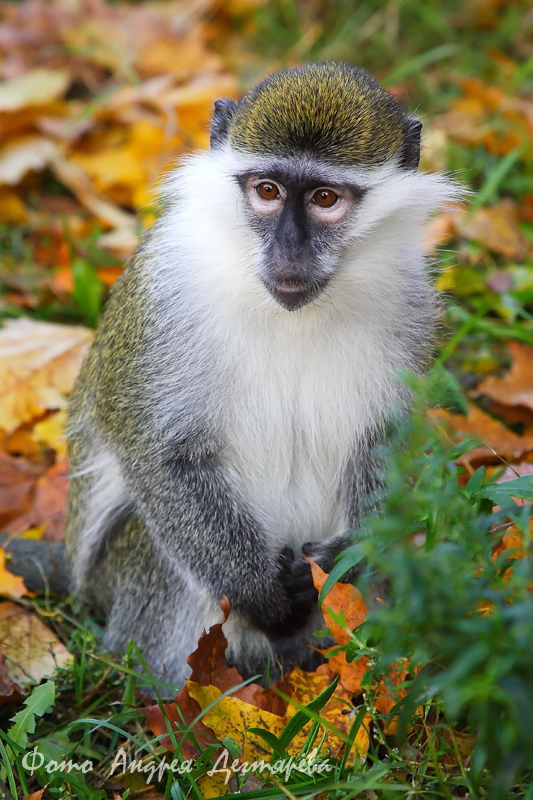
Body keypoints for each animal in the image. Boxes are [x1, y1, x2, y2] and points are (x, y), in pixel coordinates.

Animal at [61, 61, 454, 692]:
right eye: (266, 191)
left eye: (324, 198)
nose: (289, 251)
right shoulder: (163, 296)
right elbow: (162, 457)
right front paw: (264, 595)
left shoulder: (412, 305)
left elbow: (383, 445)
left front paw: (347, 558)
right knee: (157, 552)